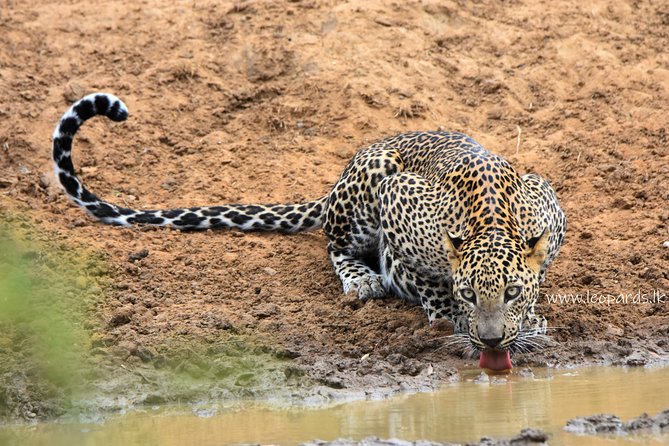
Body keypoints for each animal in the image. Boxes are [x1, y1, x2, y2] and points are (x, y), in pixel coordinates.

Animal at [52, 93, 566, 366]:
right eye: (469, 294)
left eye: (512, 293)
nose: (493, 342)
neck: (490, 216)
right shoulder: (398, 204)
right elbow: (428, 284)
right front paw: (451, 318)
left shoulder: (547, 204)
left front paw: (530, 320)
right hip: (373, 178)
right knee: (335, 244)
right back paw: (362, 281)